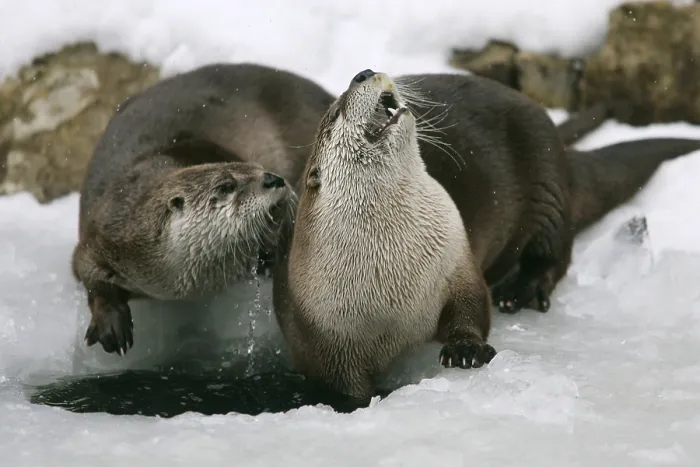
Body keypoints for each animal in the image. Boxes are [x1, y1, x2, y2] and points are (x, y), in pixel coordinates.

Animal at [72, 63, 334, 356]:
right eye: (226, 186)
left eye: (260, 168)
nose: (273, 179)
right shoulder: (101, 233)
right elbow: (87, 273)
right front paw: (110, 323)